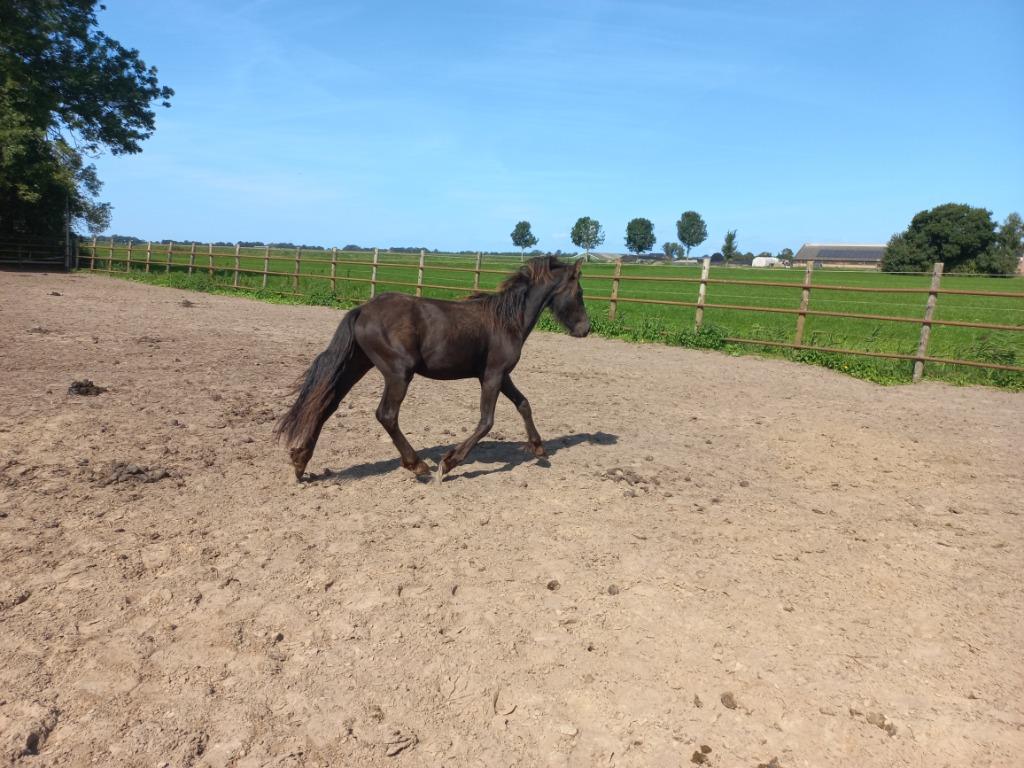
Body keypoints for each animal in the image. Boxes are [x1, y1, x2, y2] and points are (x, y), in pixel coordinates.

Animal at [274, 255, 591, 482]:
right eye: (579, 292)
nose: (585, 329)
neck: (506, 321)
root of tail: (362, 309)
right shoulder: (492, 375)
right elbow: (486, 421)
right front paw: (448, 463)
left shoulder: (501, 375)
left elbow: (524, 404)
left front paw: (538, 447)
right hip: (398, 373)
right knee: (386, 415)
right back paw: (418, 465)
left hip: (358, 365)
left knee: (326, 403)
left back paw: (300, 462)